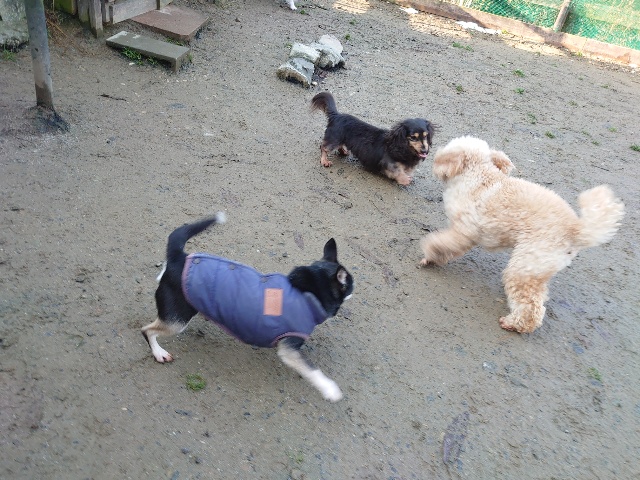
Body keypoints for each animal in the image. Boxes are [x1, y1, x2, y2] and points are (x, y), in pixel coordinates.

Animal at [142, 213, 354, 402]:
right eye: (350, 283)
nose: (355, 286)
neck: (309, 291)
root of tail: (179, 257)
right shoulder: (289, 349)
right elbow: (313, 371)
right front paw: (330, 389)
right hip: (176, 320)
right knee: (146, 330)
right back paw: (159, 353)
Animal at [419, 136, 625, 333]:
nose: (431, 157)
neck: (478, 175)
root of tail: (576, 229)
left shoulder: (464, 231)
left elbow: (442, 244)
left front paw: (429, 257)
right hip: (537, 269)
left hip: (525, 266)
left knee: (531, 307)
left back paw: (514, 324)